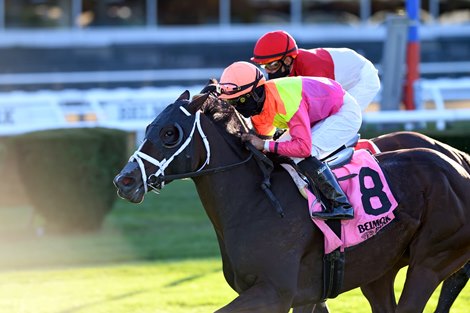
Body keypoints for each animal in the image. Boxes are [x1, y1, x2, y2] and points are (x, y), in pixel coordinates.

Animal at [114, 91, 470, 312]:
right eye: (148, 127)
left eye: (170, 133)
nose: (124, 181)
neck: (255, 203)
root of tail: (458, 162)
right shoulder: (303, 296)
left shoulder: (274, 293)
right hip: (379, 270)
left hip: (431, 260)